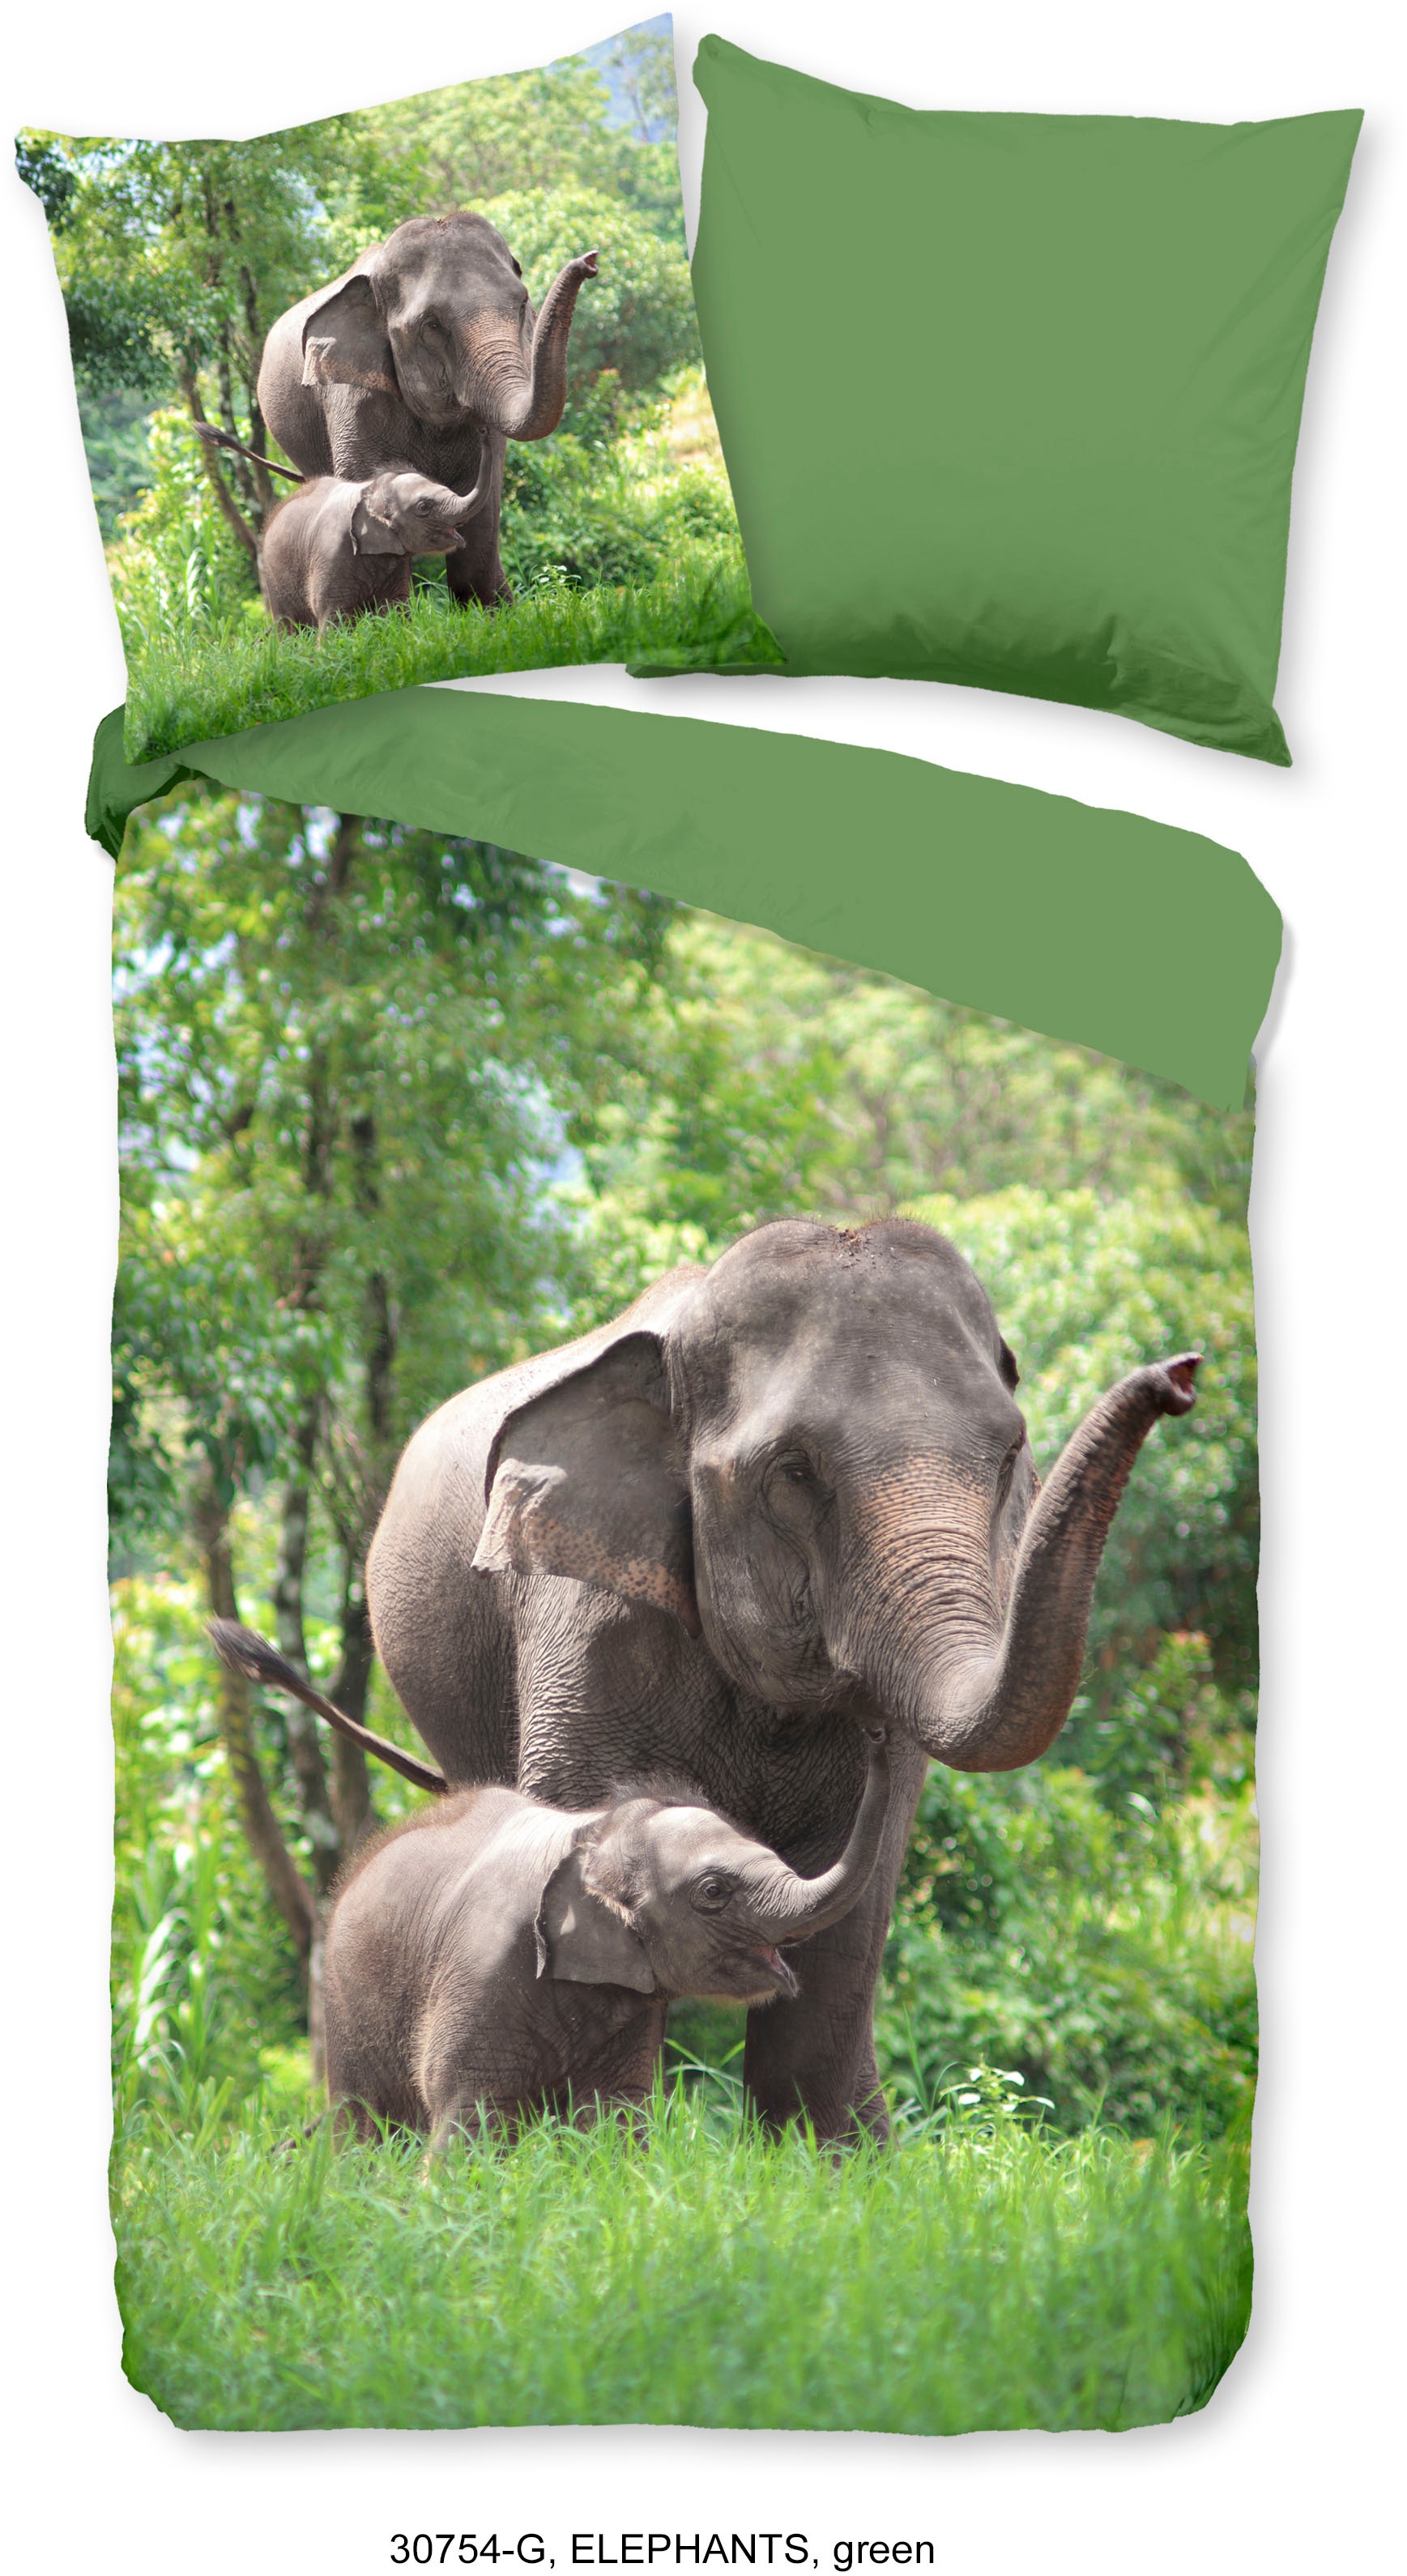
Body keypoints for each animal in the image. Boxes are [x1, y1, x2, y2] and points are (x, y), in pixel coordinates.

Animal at [258, 213, 598, 609]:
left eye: (522, 303)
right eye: (433, 325)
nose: (590, 261)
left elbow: (484, 509)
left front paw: (493, 613)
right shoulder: (352, 402)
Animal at [259, 460, 493, 632]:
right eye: (423, 507)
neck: (370, 489)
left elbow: (395, 609)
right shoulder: (331, 555)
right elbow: (333, 614)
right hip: (275, 579)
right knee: (289, 626)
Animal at [323, 1727, 891, 2147]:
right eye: (713, 1891)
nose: (878, 1733)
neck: (597, 1832)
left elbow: (613, 2113)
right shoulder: (479, 1970)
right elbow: (467, 2108)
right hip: (347, 2011)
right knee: (364, 2123)